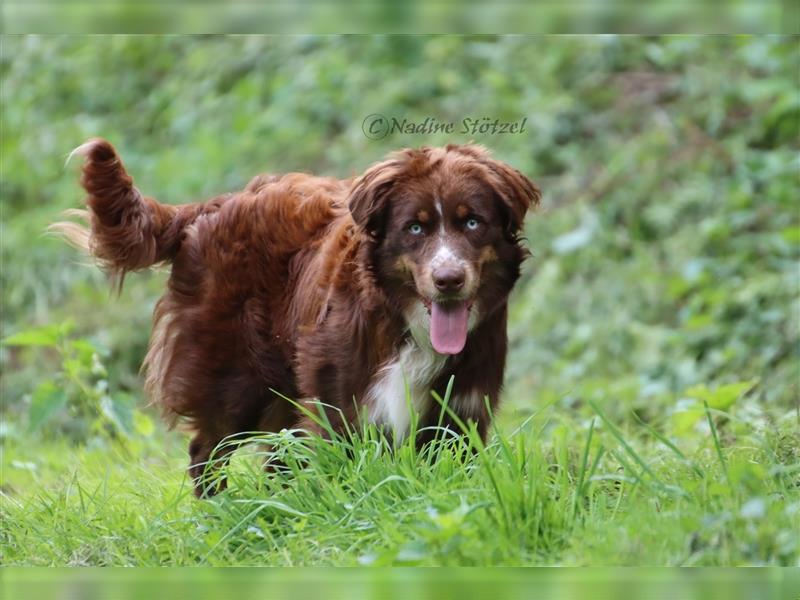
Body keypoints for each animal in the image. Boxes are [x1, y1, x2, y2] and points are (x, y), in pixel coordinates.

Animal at [54, 138, 544, 494]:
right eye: (415, 227)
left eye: (473, 222)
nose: (448, 280)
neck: (404, 325)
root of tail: (209, 207)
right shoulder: (340, 404)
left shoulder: (461, 409)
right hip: (235, 379)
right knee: (206, 449)